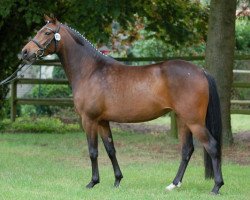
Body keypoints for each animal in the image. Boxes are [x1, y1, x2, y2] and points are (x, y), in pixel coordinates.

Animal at [21, 16, 224, 195]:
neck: (91, 71)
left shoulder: (89, 120)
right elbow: (111, 150)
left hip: (194, 121)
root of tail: (201, 71)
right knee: (187, 150)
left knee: (212, 146)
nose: (24, 52)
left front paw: (92, 182)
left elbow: (93, 151)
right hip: (183, 120)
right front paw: (117, 180)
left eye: (47, 32)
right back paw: (173, 185)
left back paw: (216, 187)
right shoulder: (103, 122)